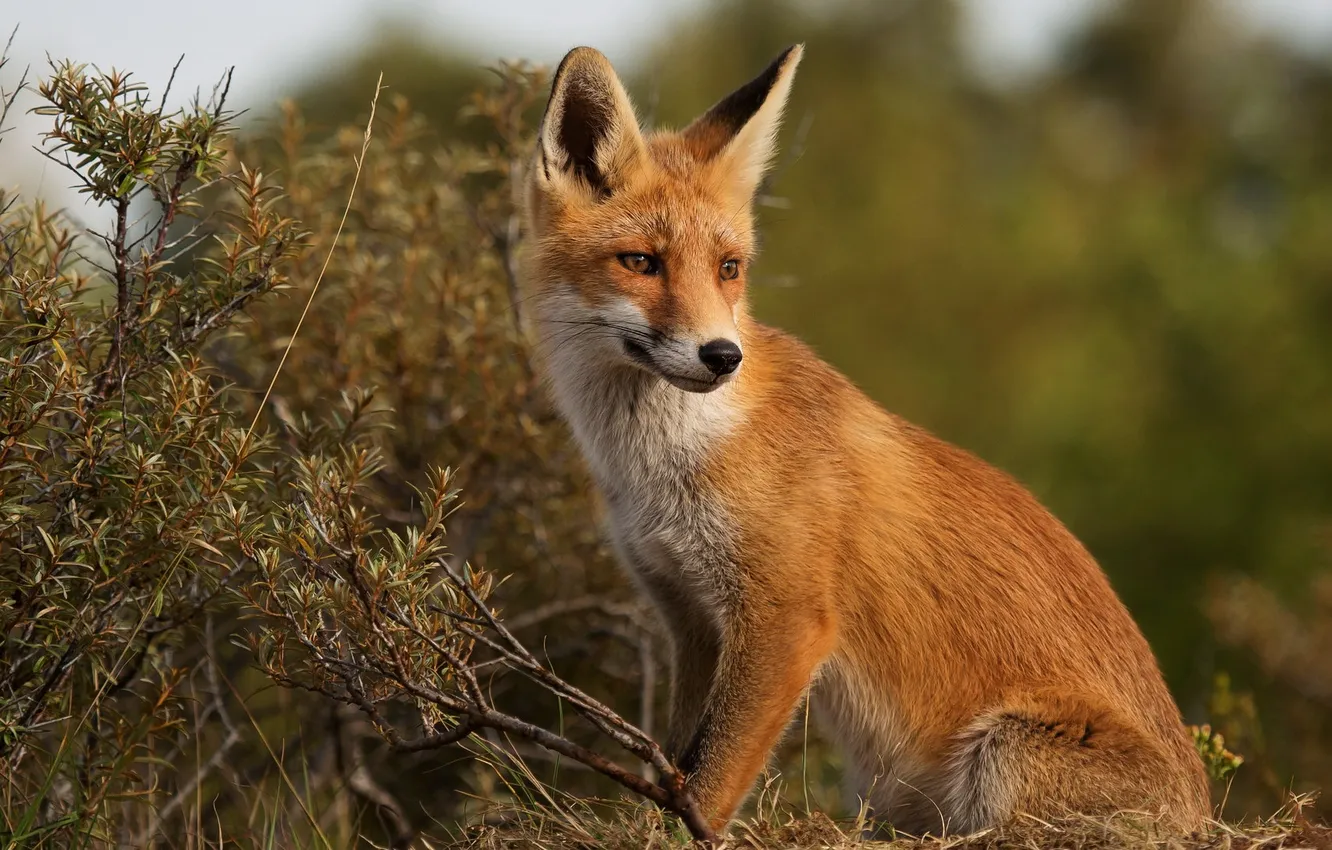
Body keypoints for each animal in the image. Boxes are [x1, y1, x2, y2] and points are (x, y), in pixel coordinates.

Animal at [520, 44, 1211, 836]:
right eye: (641, 262)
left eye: (729, 269)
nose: (723, 356)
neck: (665, 469)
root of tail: (1209, 814)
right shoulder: (690, 618)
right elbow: (674, 762)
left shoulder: (786, 622)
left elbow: (709, 784)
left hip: (1002, 751)